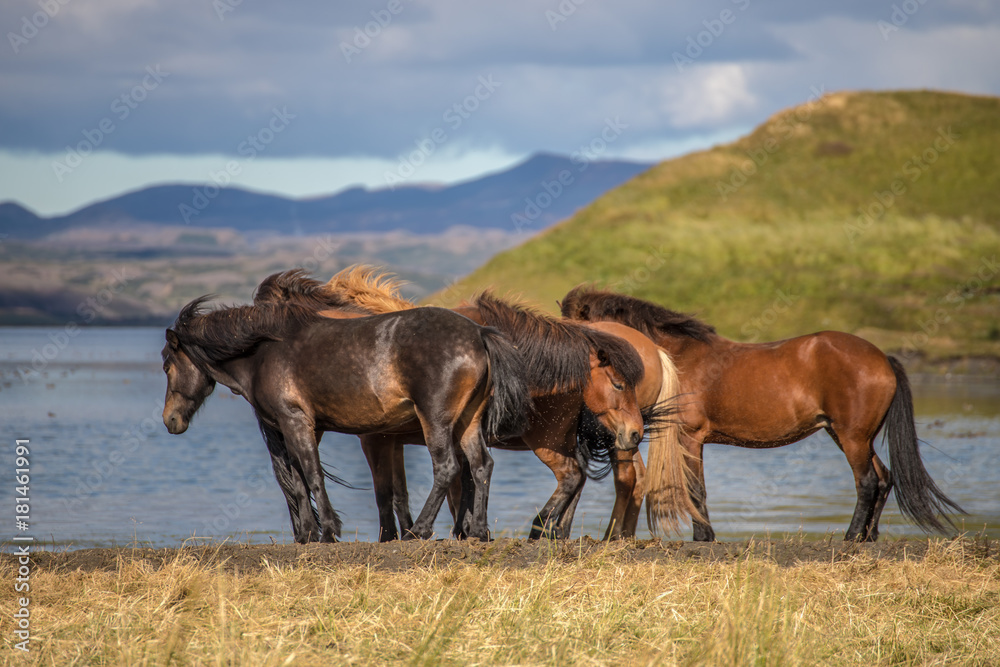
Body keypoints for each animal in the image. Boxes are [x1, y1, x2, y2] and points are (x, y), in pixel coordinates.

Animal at [158, 296, 532, 544]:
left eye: (166, 365)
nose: (170, 420)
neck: (263, 352)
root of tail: (479, 333)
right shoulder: (299, 428)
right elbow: (298, 479)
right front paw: (309, 533)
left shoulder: (296, 423)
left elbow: (312, 476)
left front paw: (327, 530)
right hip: (468, 422)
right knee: (481, 465)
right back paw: (478, 531)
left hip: (436, 422)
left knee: (448, 468)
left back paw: (420, 530)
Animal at [560, 288, 964, 544]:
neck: (675, 358)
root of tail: (882, 358)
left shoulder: (689, 436)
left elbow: (696, 489)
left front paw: (703, 537)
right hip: (849, 436)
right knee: (884, 477)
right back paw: (869, 535)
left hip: (851, 438)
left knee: (867, 482)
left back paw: (852, 536)